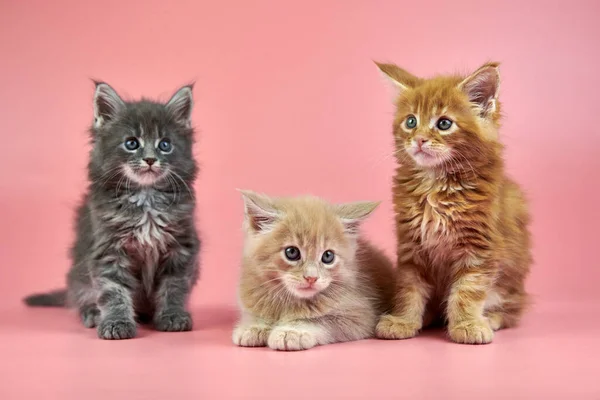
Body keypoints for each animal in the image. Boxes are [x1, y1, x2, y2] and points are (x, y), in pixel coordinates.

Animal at [24, 83, 202, 340]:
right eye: (132, 143)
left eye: (165, 145)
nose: (150, 159)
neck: (146, 198)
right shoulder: (108, 250)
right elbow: (113, 291)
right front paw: (116, 323)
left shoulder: (180, 248)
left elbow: (174, 286)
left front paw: (173, 315)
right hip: (78, 276)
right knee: (82, 297)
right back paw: (92, 313)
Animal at [376, 61, 536, 344]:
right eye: (411, 121)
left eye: (444, 123)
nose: (419, 139)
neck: (436, 184)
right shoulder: (411, 245)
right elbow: (409, 288)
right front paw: (403, 321)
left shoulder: (480, 246)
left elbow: (467, 290)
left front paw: (467, 324)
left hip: (512, 279)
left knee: (513, 309)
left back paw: (491, 318)